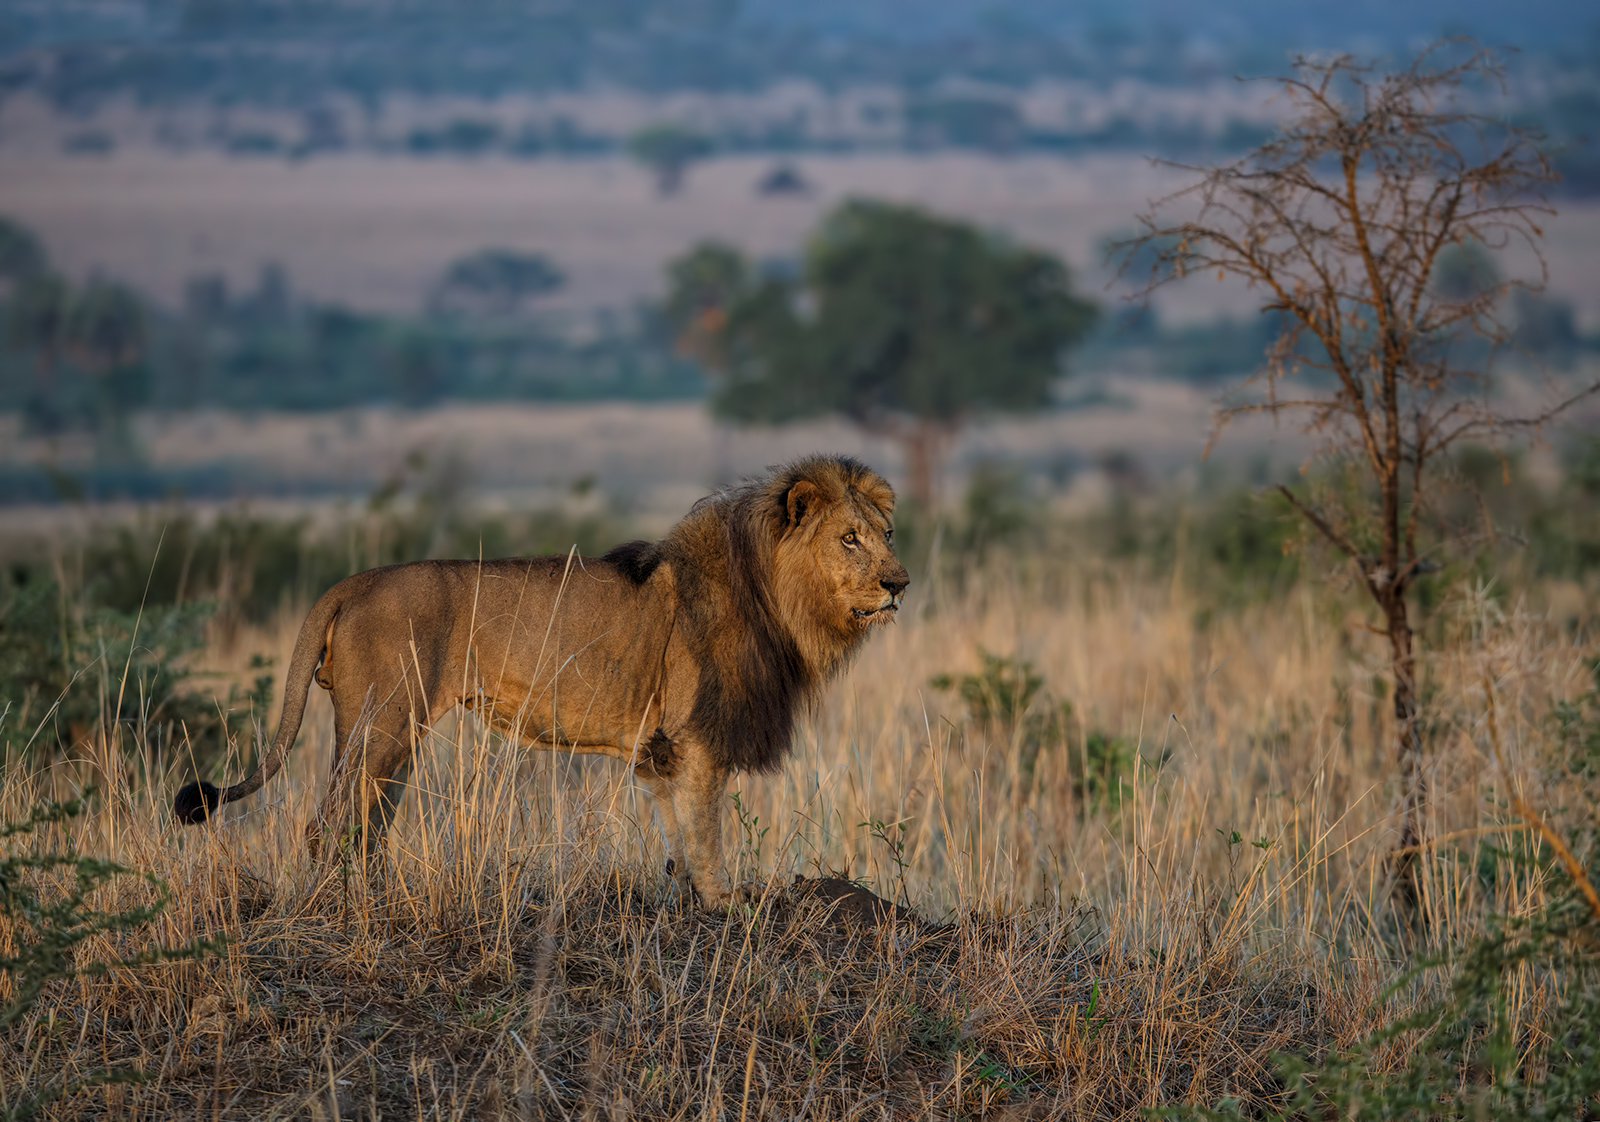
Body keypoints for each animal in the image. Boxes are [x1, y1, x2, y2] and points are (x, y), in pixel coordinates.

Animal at [173, 454, 908, 908]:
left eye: (888, 534)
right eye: (849, 539)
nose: (899, 583)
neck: (779, 597)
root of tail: (353, 581)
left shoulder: (661, 749)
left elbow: (674, 828)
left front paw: (683, 898)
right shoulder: (697, 735)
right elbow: (705, 829)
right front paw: (725, 903)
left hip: (386, 736)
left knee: (367, 824)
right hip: (382, 725)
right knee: (327, 826)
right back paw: (350, 906)